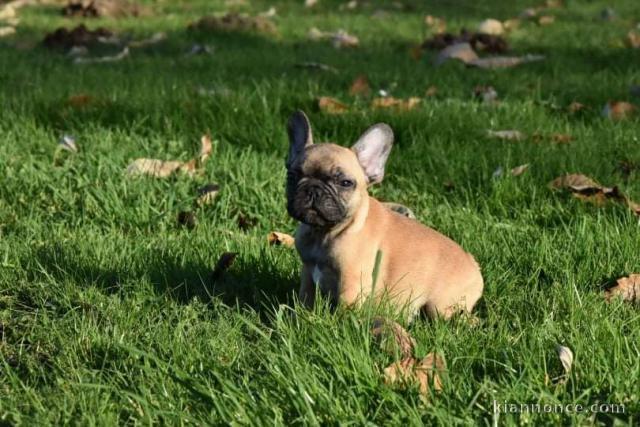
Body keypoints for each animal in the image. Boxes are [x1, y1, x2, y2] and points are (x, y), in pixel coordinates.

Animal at [288, 112, 482, 320]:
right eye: (292, 176)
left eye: (345, 183)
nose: (313, 190)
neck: (323, 233)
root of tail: (474, 266)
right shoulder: (308, 272)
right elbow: (305, 298)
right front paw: (301, 316)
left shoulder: (351, 283)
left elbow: (343, 311)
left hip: (440, 307)